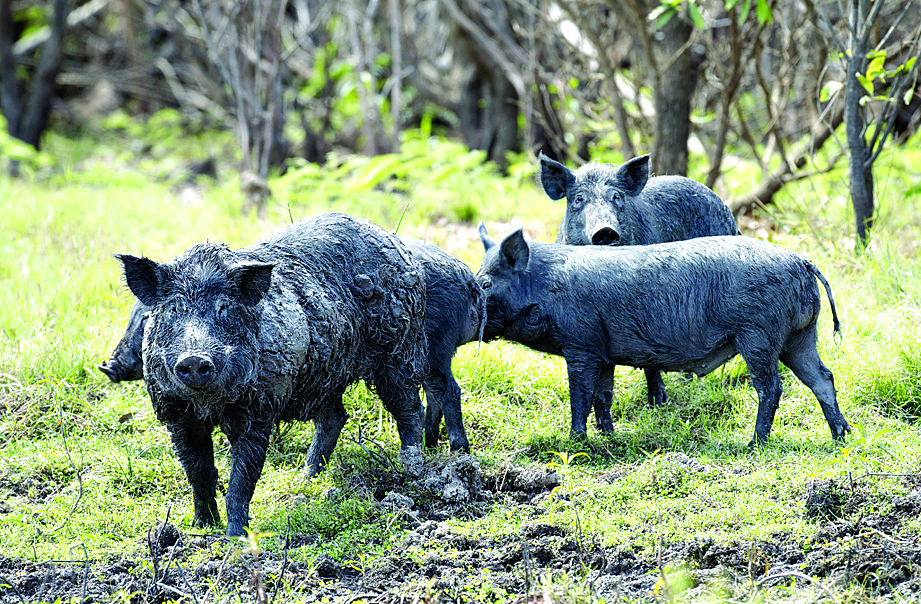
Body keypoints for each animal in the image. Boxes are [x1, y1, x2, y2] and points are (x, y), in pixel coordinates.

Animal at [102, 238, 484, 454]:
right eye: (160, 315)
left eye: (145, 319)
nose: (107, 366)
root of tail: (468, 277)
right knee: (339, 415)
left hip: (422, 350)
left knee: (444, 391)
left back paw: (452, 453)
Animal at [114, 213, 427, 536]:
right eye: (174, 309)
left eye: (224, 308)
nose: (194, 357)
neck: (209, 405)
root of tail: (391, 239)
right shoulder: (176, 415)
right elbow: (199, 473)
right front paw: (201, 527)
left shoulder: (259, 410)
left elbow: (242, 478)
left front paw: (235, 537)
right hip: (326, 374)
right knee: (335, 417)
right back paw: (307, 479)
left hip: (399, 348)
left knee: (410, 407)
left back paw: (411, 470)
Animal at [476, 225, 851, 446]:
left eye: (486, 283)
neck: (544, 288)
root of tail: (800, 260)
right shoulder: (603, 352)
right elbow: (603, 396)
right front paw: (610, 438)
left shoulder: (580, 345)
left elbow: (579, 397)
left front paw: (575, 442)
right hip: (799, 337)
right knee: (823, 377)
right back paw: (842, 436)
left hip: (758, 335)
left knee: (771, 387)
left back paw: (753, 444)